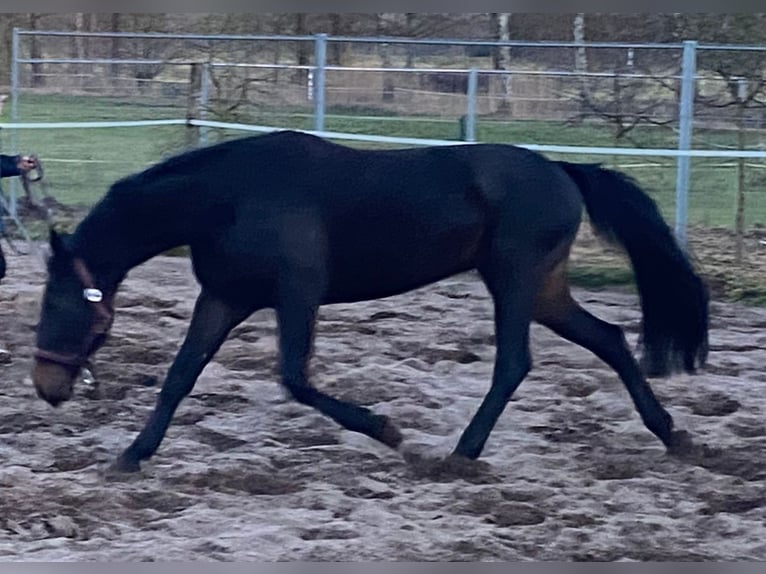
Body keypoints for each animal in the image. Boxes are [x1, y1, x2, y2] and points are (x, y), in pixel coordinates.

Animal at [33, 133, 712, 474]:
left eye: (61, 306)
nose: (46, 387)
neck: (228, 196)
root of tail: (563, 170)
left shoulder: (296, 294)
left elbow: (295, 379)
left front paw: (388, 432)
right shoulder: (224, 295)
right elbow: (179, 376)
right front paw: (131, 456)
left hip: (514, 281)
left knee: (514, 364)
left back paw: (459, 455)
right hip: (544, 289)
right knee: (610, 340)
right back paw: (673, 437)